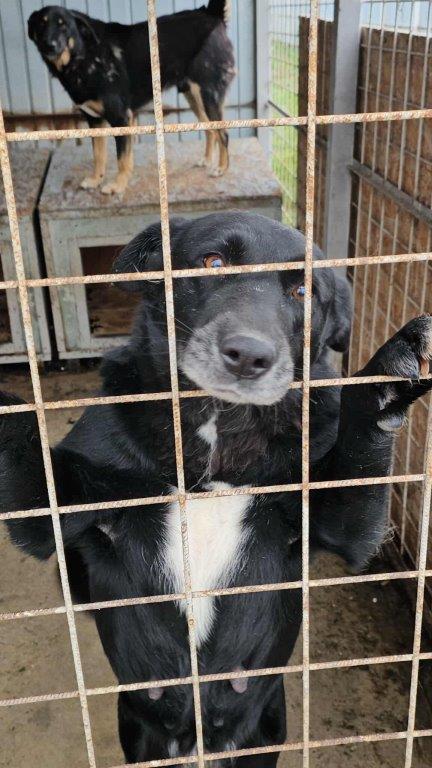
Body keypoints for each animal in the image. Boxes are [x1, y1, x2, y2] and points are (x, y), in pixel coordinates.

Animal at [2, 212, 432, 765]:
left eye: (303, 291)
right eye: (212, 262)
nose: (248, 355)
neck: (219, 433)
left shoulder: (345, 523)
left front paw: (387, 372)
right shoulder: (46, 508)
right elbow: (23, 441)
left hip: (265, 730)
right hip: (138, 732)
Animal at [28, 2, 235, 195]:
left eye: (63, 25)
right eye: (41, 24)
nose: (49, 44)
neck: (84, 56)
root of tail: (211, 13)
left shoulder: (121, 118)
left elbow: (122, 159)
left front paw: (117, 186)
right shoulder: (94, 120)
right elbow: (99, 156)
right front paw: (96, 180)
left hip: (208, 94)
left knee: (223, 133)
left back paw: (221, 168)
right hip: (193, 95)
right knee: (210, 130)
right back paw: (207, 160)